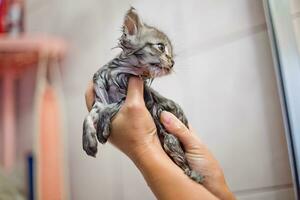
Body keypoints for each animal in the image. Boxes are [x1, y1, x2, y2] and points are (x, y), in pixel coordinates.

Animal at [82, 7, 204, 183]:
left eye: (171, 54)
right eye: (161, 47)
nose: (172, 62)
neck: (117, 76)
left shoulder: (141, 101)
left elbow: (110, 108)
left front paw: (102, 130)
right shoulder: (99, 100)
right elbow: (88, 117)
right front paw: (89, 142)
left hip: (171, 140)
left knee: (184, 165)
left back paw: (193, 174)